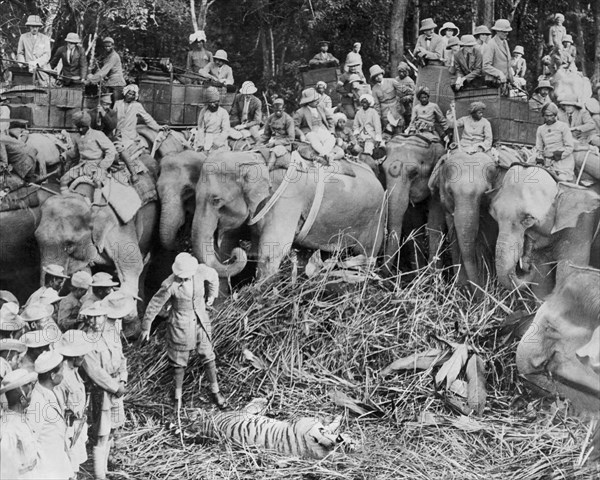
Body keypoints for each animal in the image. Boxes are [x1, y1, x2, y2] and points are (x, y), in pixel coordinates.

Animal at [186, 396, 356, 460]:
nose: (354, 444)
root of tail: (205, 425)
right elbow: (330, 426)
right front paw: (339, 418)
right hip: (239, 413)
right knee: (249, 407)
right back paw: (262, 400)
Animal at [192, 150, 384, 278]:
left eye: (216, 200)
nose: (234, 254)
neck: (259, 159)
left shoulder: (287, 200)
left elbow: (272, 251)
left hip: (375, 220)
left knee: (365, 255)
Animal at [382, 135, 442, 272]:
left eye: (413, 173)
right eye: (382, 168)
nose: (381, 272)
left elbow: (435, 223)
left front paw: (432, 274)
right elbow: (413, 224)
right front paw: (419, 272)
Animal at [490, 167, 596, 298]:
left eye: (529, 218)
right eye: (493, 214)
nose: (527, 266)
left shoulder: (581, 226)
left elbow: (569, 273)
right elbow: (542, 282)